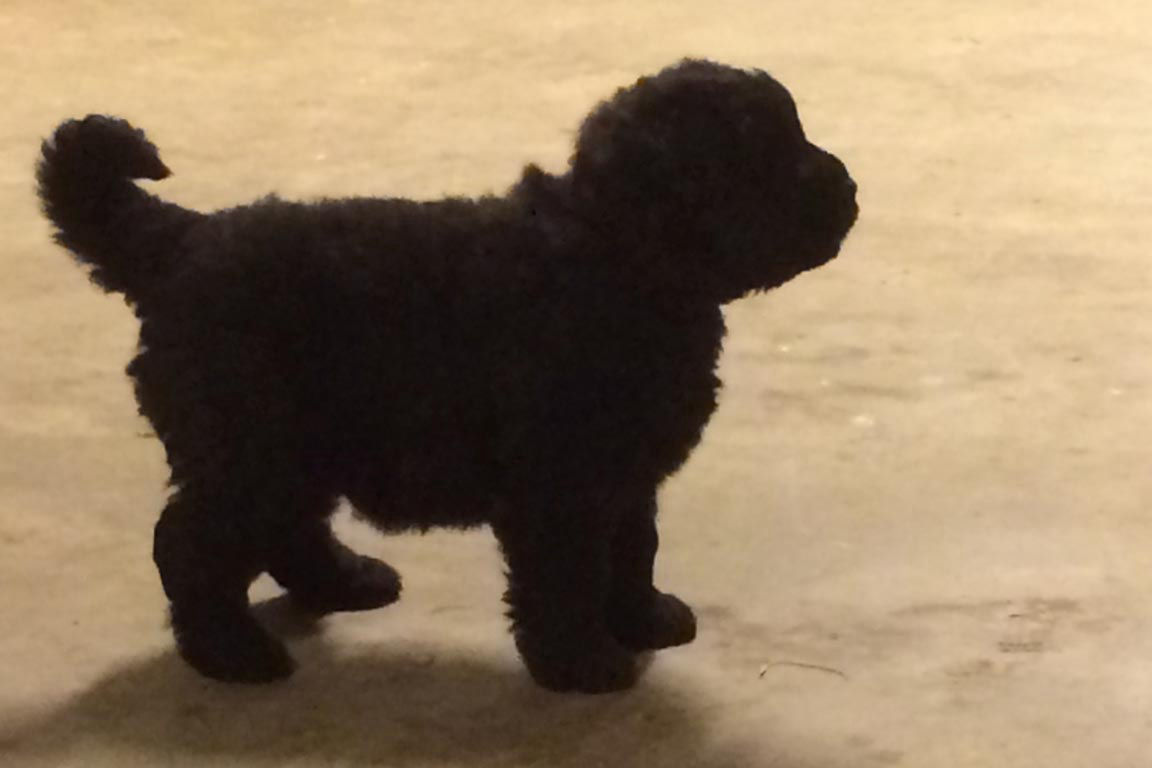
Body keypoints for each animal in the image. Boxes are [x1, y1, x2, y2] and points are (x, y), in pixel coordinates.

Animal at [37, 59, 857, 693]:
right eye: (763, 155)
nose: (850, 191)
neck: (621, 255)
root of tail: (180, 238)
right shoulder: (561, 481)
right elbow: (566, 575)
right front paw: (583, 664)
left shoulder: (624, 470)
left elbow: (632, 547)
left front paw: (643, 618)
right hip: (252, 445)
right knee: (193, 547)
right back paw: (233, 654)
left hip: (299, 445)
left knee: (285, 529)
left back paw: (346, 582)